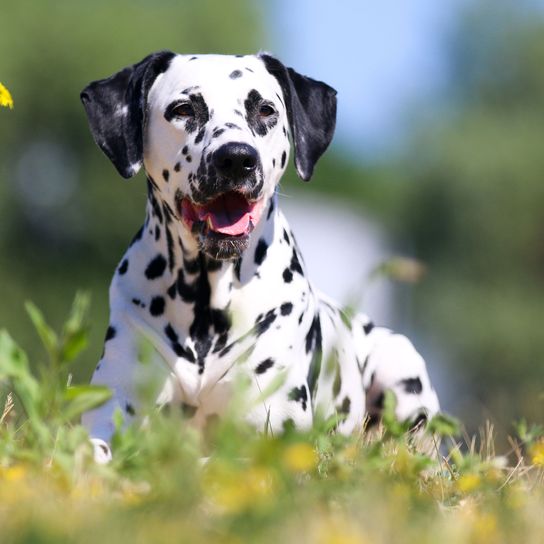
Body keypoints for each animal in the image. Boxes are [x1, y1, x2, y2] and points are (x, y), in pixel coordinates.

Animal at [79, 51, 438, 462]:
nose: (236, 158)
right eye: (184, 109)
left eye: (265, 109)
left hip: (400, 369)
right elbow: (93, 445)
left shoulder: (276, 430)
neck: (206, 303)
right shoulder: (114, 406)